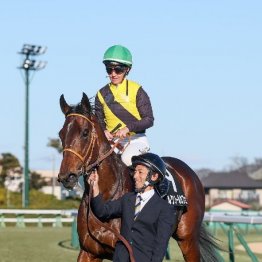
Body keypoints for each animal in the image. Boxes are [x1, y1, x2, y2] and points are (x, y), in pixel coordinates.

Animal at [57, 93, 221, 260]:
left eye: (85, 132)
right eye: (61, 134)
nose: (66, 176)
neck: (108, 194)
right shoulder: (88, 252)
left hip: (188, 240)